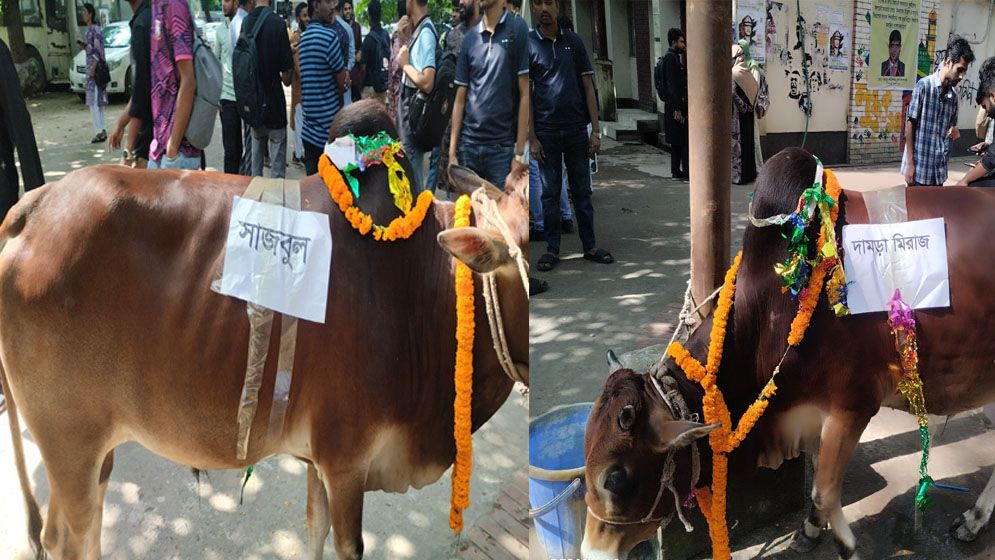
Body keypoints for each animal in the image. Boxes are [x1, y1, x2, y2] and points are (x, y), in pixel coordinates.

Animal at [0, 100, 528, 560]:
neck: (419, 282)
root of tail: (34, 205)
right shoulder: (345, 460)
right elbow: (347, 545)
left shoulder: (319, 461)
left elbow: (314, 532)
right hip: (70, 444)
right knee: (66, 536)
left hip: (95, 451)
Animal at [584, 148, 995, 560]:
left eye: (615, 478)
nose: (590, 551)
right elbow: (818, 488)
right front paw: (809, 530)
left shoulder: (853, 406)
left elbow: (825, 493)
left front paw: (845, 546)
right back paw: (973, 520)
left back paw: (972, 520)